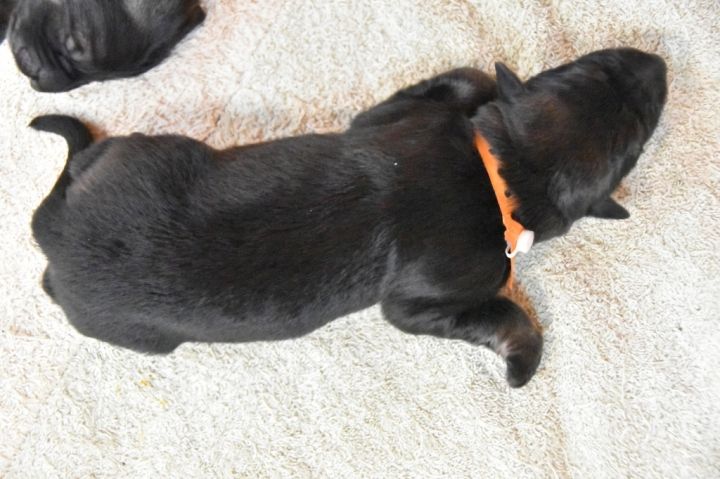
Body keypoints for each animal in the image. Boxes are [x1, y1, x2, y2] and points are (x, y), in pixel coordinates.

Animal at [30, 48, 667, 387]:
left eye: (636, 132)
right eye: (595, 65)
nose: (657, 62)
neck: (504, 172)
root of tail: (56, 239)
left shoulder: (396, 121)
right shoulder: (419, 304)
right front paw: (522, 360)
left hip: (131, 155)